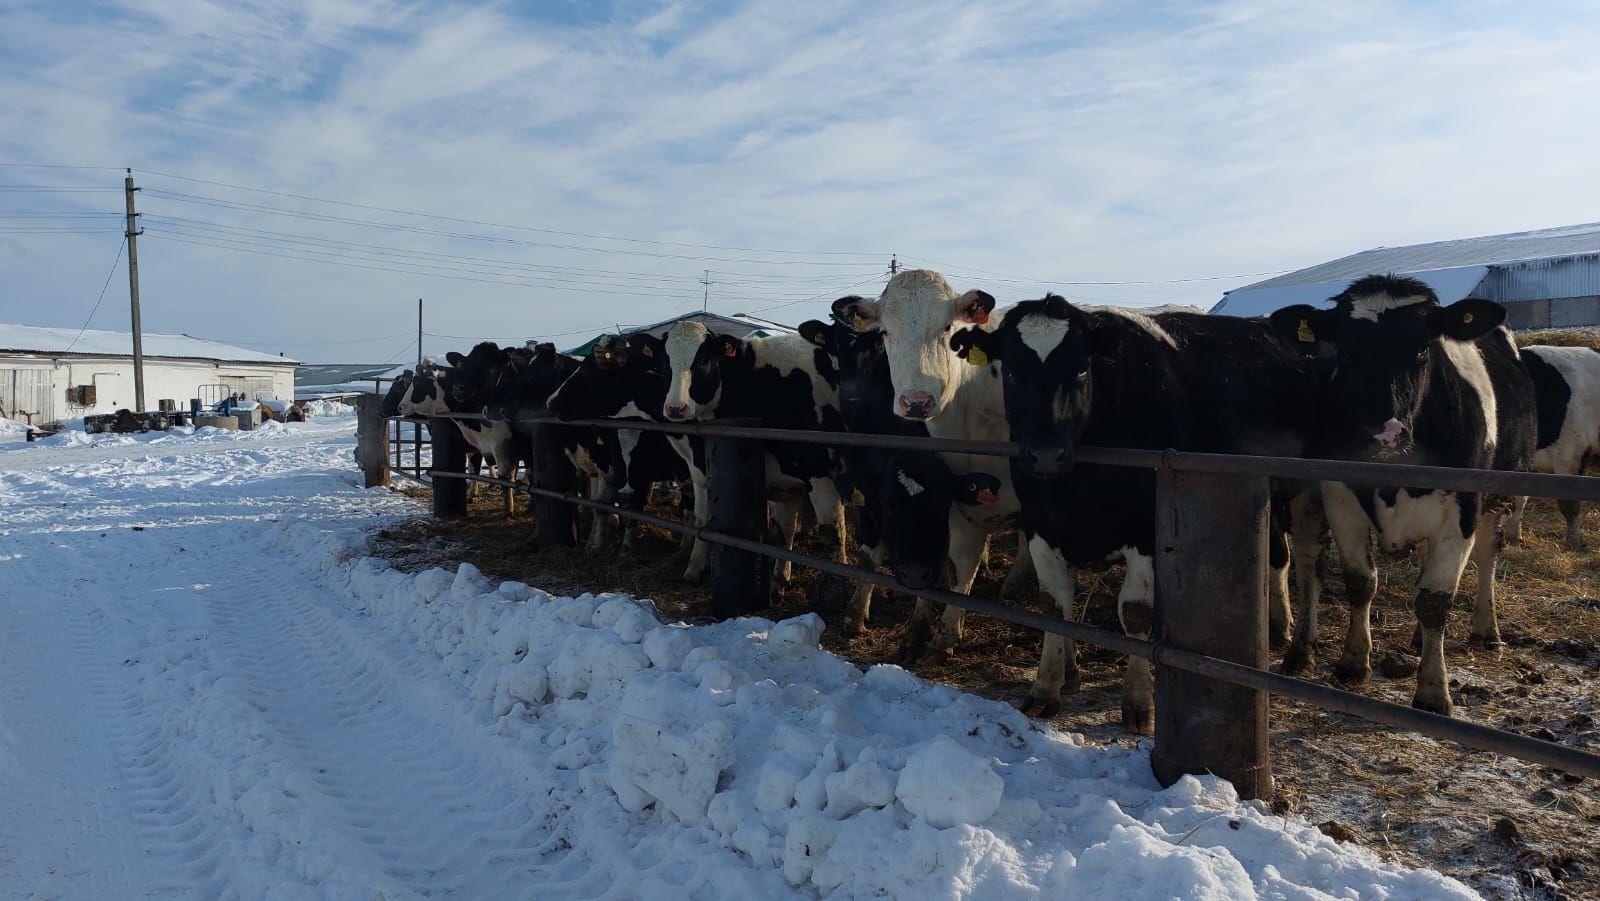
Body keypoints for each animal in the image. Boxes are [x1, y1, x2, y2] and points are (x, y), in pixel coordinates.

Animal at [656, 320, 851, 582]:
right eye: (665, 361)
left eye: (703, 360)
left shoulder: (823, 474)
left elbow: (835, 535)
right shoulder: (781, 480)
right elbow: (780, 529)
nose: (676, 408)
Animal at [947, 292, 1324, 729]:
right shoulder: (1042, 525)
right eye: (1010, 372)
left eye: (1081, 369)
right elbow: (1053, 606)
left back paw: (1297, 645)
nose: (1045, 455)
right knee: (1279, 553)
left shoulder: (1144, 530)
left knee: (1304, 562)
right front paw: (1048, 687)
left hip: (1311, 489)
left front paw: (1138, 701)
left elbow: (1136, 613)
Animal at [1260, 276, 1536, 720]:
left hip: (1499, 496)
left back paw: (1486, 630)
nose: (1385, 432)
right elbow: (1361, 583)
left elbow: (1436, 600)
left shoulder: (1462, 509)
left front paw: (1434, 692)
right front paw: (1354, 663)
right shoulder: (1340, 497)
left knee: (1487, 558)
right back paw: (1421, 640)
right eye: (1345, 350)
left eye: (1423, 348)